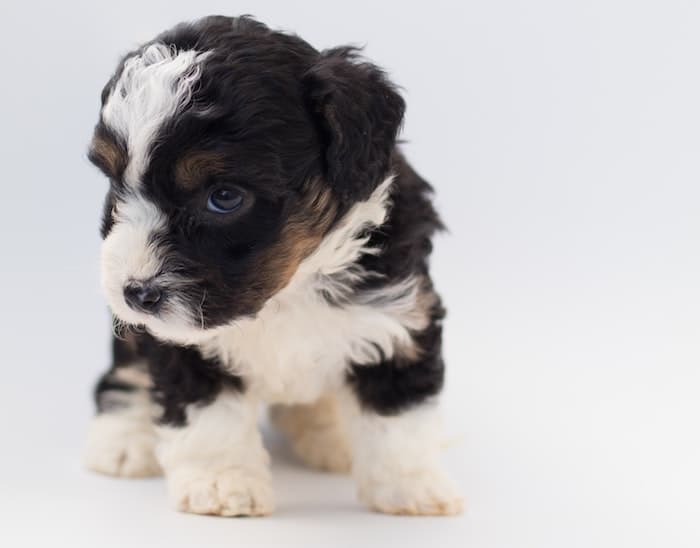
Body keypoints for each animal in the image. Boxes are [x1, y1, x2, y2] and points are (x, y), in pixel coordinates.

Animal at [85, 13, 462, 520]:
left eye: (224, 197)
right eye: (115, 183)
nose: (135, 293)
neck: (289, 287)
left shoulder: (400, 317)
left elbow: (399, 413)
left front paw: (412, 487)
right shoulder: (180, 343)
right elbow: (208, 415)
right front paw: (222, 484)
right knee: (125, 371)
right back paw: (123, 437)